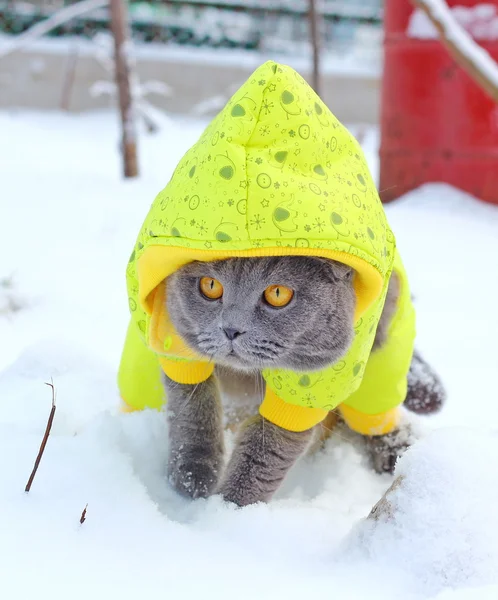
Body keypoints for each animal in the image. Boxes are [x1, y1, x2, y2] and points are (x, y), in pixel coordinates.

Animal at [165, 254, 446, 506]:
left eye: (278, 293)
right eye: (210, 286)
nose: (231, 330)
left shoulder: (310, 386)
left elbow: (266, 452)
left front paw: (229, 509)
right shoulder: (175, 340)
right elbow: (191, 410)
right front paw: (193, 478)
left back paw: (396, 454)